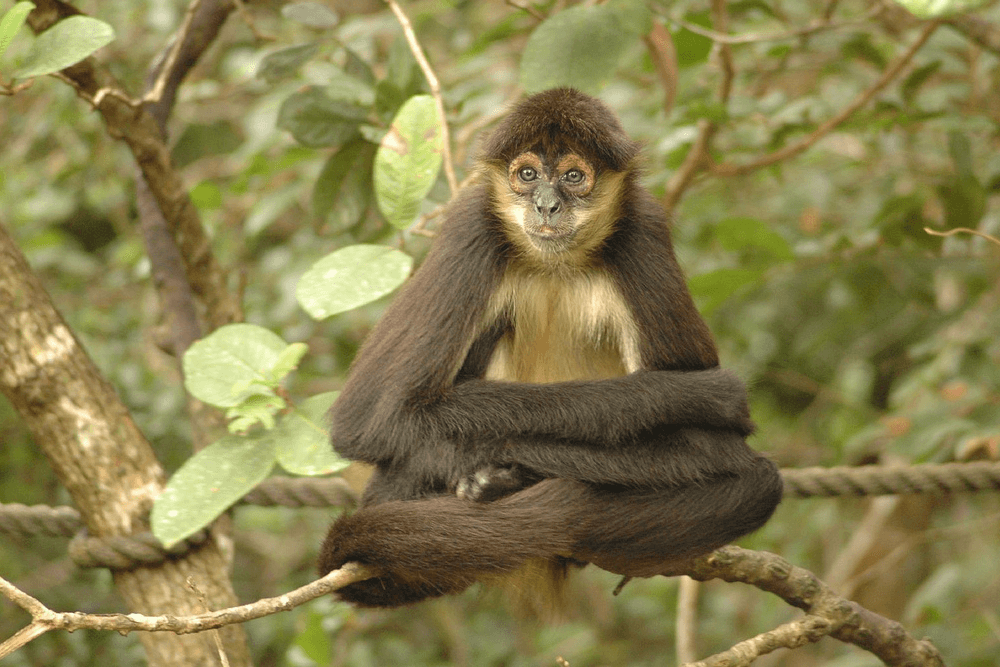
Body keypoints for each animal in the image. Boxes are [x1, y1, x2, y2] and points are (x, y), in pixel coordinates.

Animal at [318, 87, 782, 609]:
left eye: (573, 177)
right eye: (527, 175)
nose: (545, 205)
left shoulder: (643, 227)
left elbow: (714, 446)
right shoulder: (470, 223)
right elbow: (372, 417)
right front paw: (688, 397)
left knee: (755, 483)